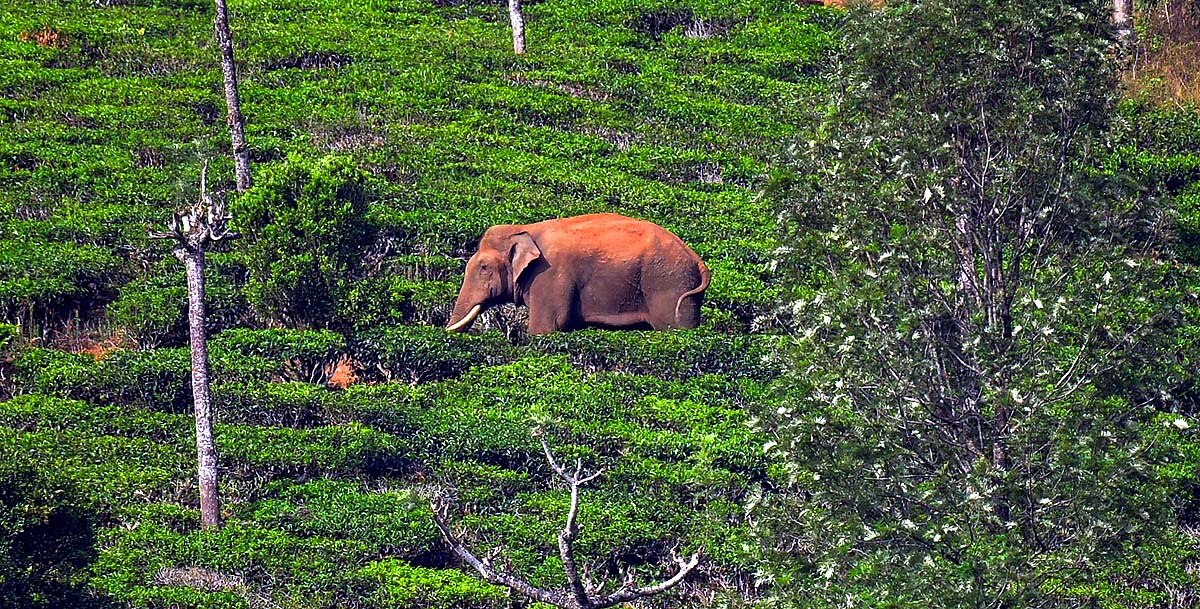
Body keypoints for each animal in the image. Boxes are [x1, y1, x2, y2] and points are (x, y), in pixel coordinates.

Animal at [446, 213, 711, 334]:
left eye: (484, 267)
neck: (524, 229)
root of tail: (697, 259)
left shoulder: (549, 276)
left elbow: (545, 327)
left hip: (668, 284)